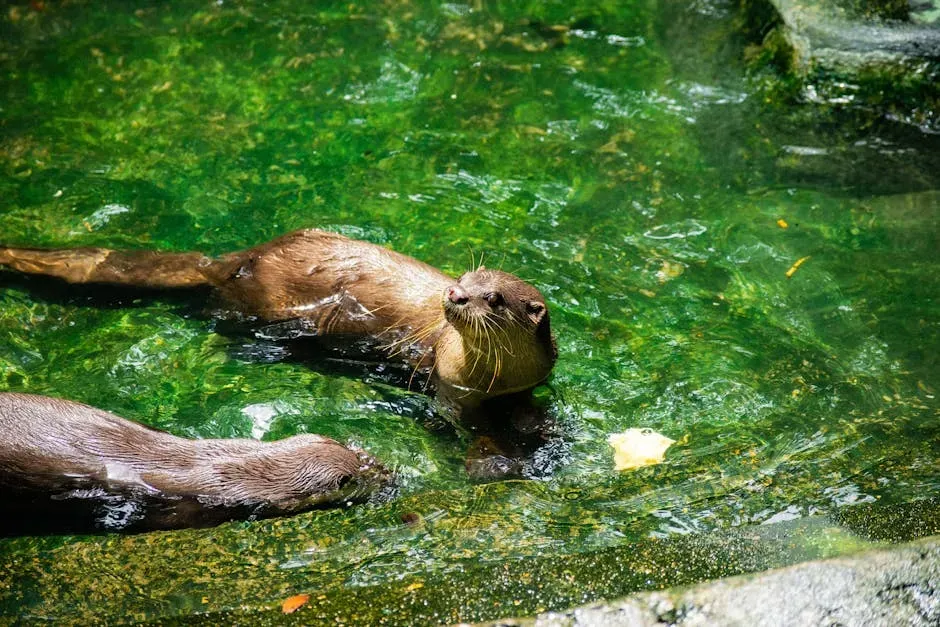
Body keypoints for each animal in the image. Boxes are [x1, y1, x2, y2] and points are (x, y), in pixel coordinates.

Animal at [0, 230, 557, 407]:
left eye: (494, 298)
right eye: (463, 276)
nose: (456, 295)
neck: (497, 380)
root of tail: (241, 259)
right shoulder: (451, 388)